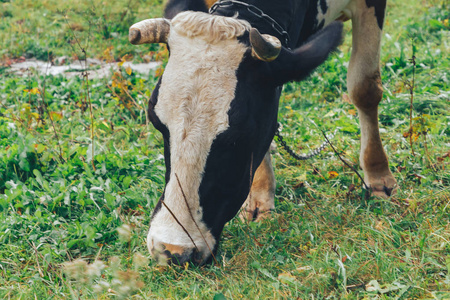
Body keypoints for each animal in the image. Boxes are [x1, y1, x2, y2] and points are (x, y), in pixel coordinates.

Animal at [128, 0, 396, 264]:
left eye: (239, 135)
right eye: (157, 123)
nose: (171, 250)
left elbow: (365, 87)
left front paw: (378, 176)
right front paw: (260, 196)